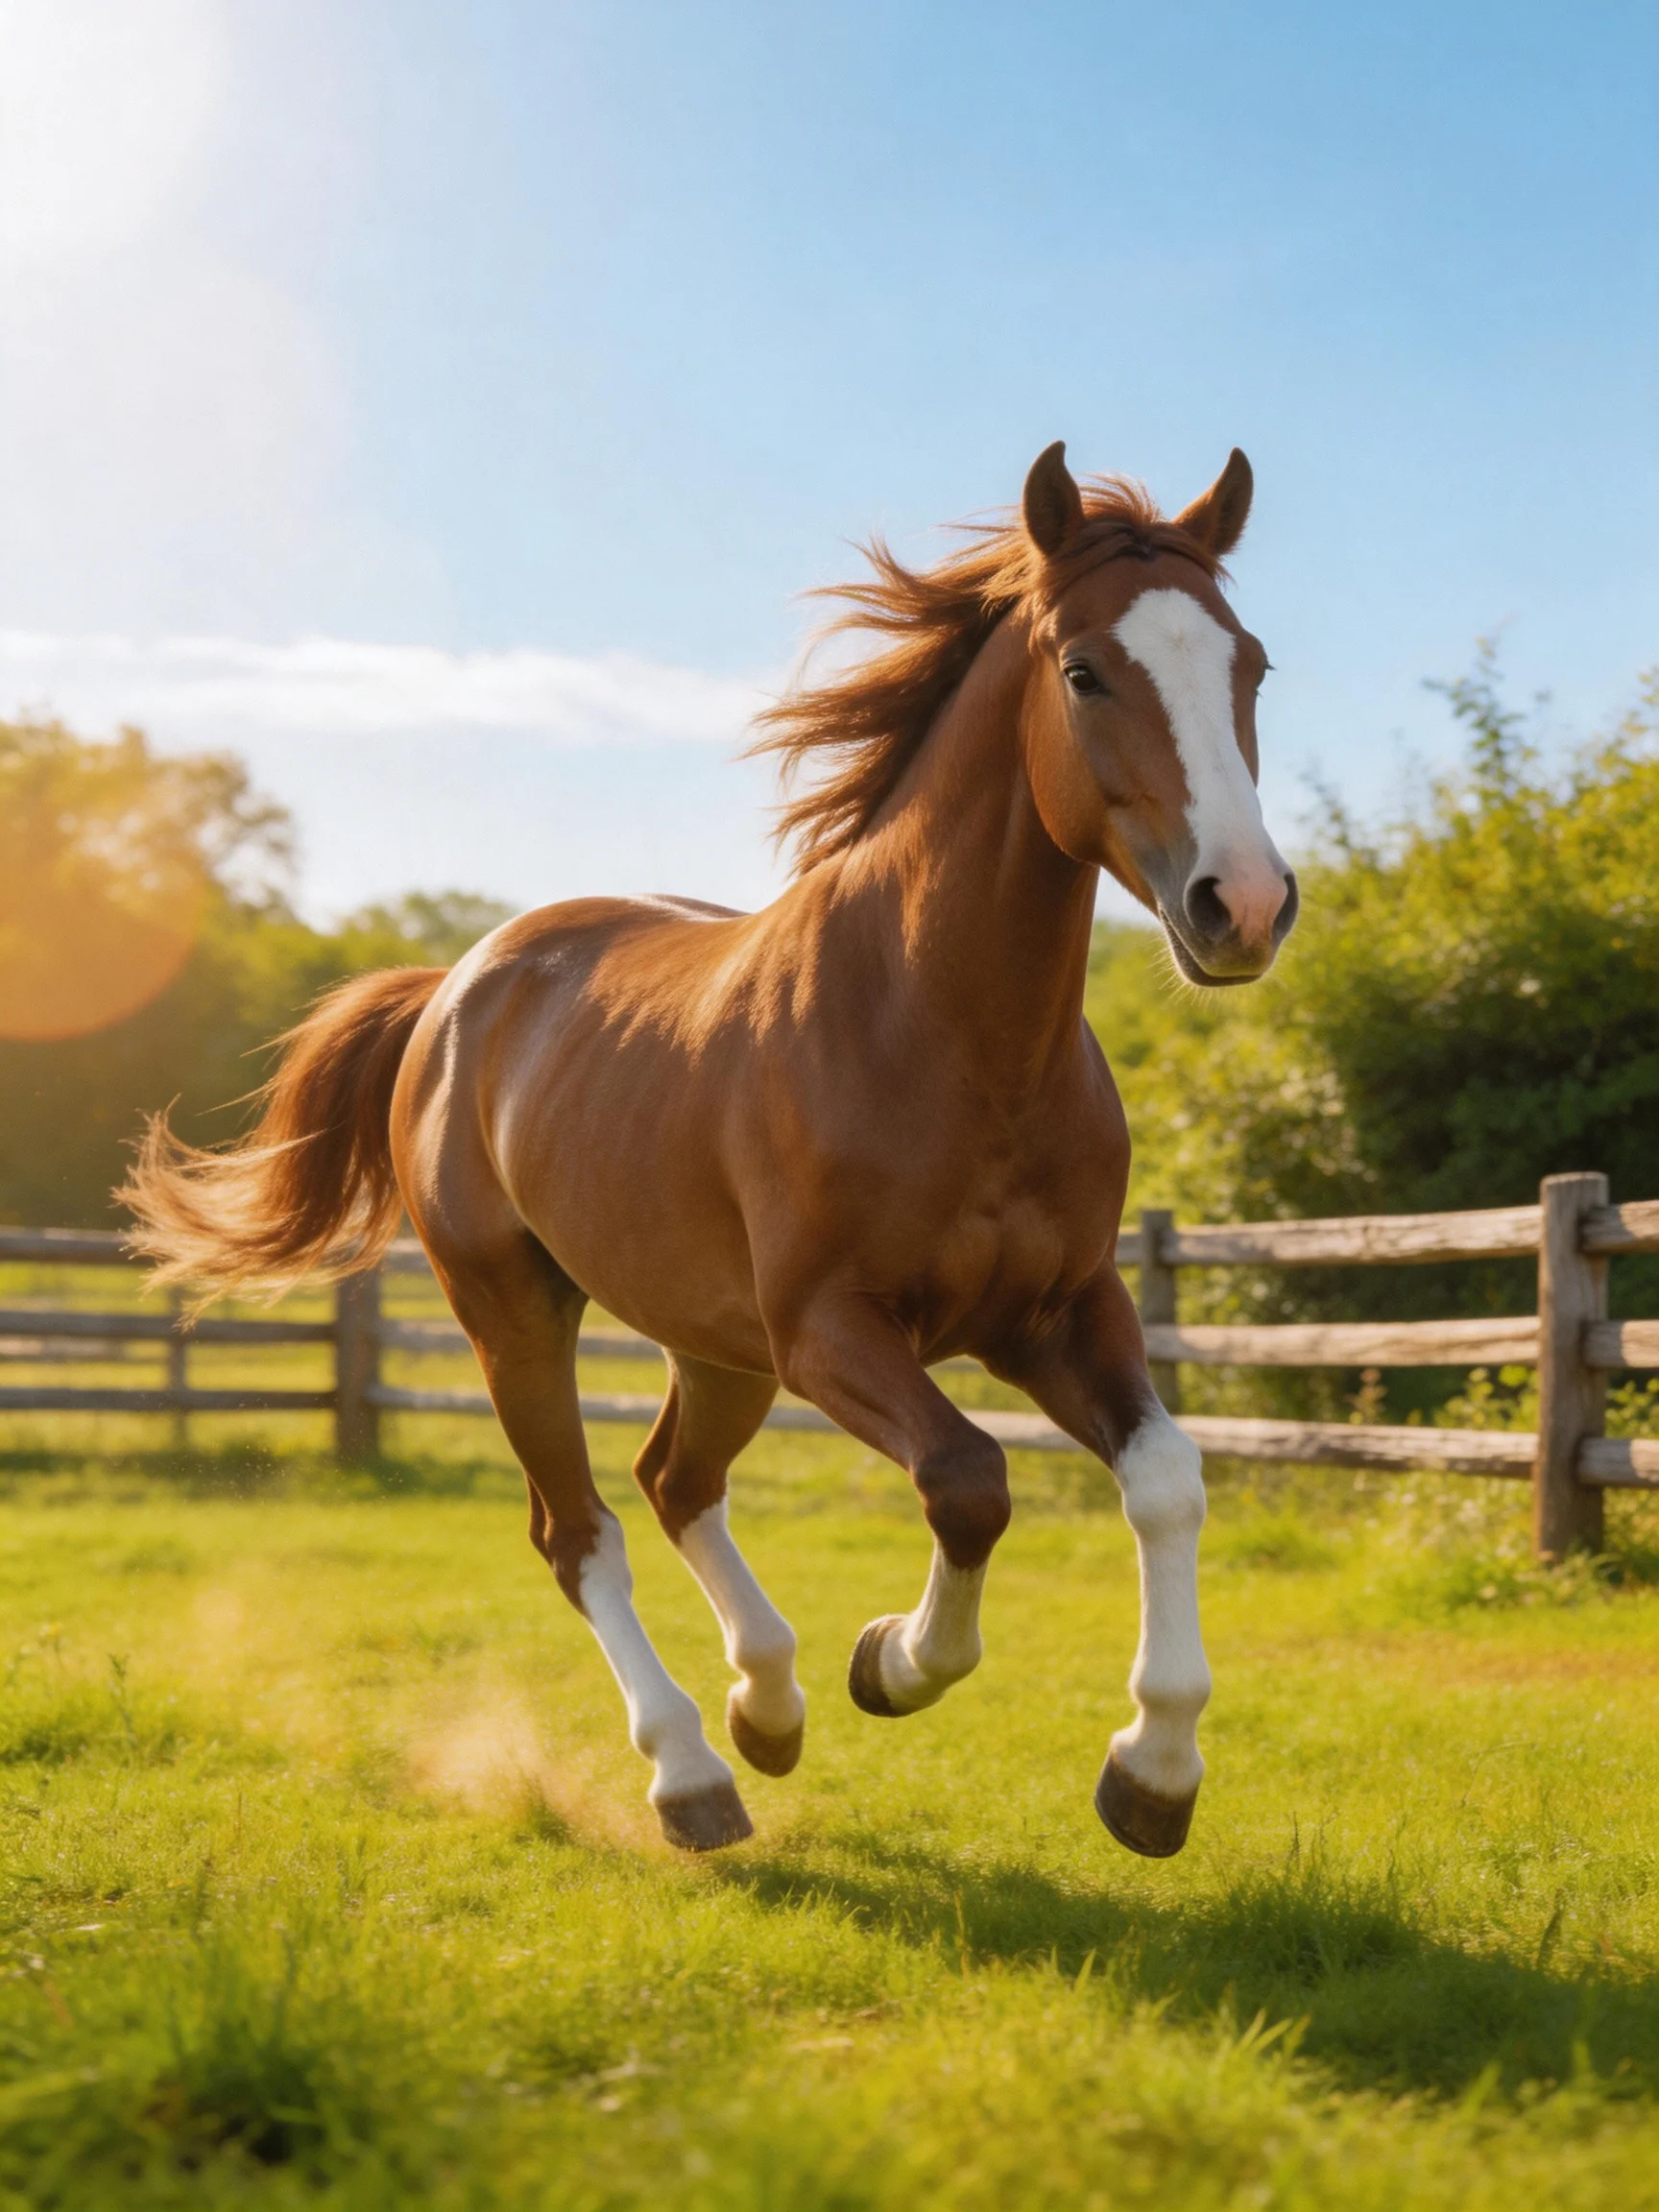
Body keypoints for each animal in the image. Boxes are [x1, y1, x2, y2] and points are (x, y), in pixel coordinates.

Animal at [123, 442, 1296, 1857]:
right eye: (1084, 670)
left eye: (1251, 666)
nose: (1243, 905)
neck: (940, 1031)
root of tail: (453, 988)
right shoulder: (829, 1330)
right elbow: (968, 1479)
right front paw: (892, 1661)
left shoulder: (1059, 1309)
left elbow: (1167, 1478)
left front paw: (1152, 1774)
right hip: (518, 1316)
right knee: (579, 1528)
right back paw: (691, 1772)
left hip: (712, 1341)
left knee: (674, 1480)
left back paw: (767, 1709)